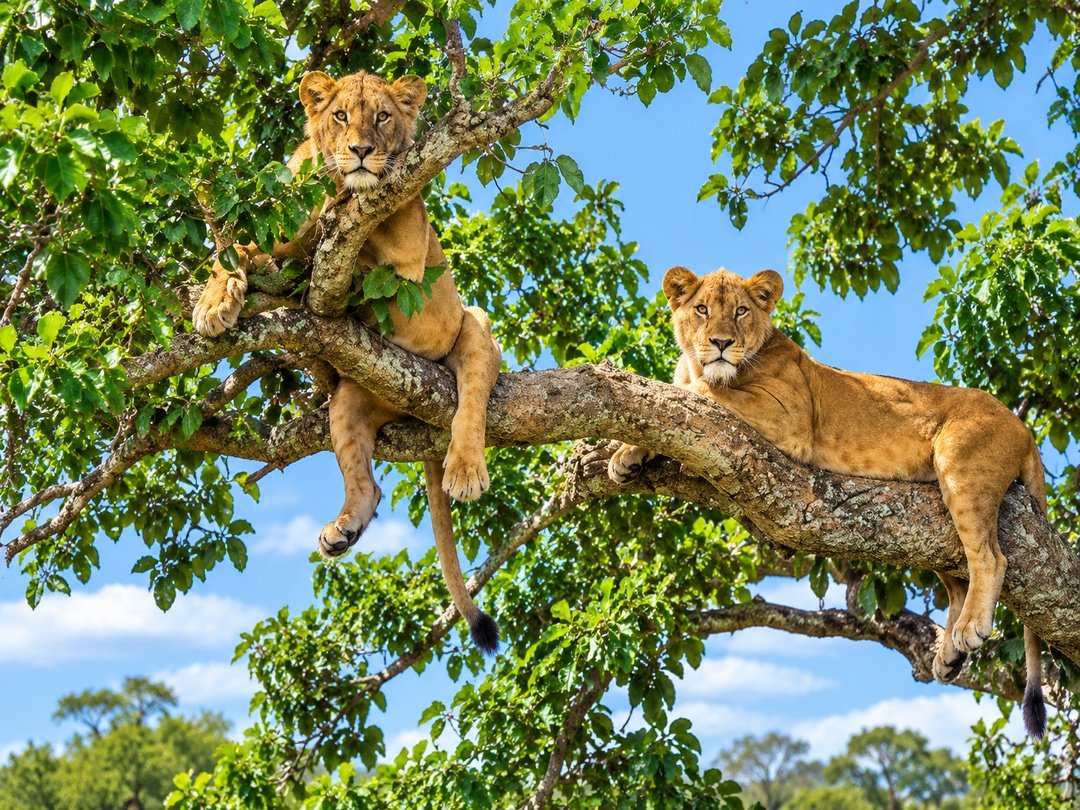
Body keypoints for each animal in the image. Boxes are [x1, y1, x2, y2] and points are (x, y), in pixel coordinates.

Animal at [191, 71, 502, 653]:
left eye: (382, 117)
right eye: (340, 116)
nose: (359, 150)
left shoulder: (406, 244)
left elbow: (363, 239)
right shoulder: (276, 237)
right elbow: (234, 253)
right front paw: (214, 303)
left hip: (474, 326)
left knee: (470, 403)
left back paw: (465, 470)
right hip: (351, 402)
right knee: (367, 485)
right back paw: (341, 532)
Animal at [608, 265, 1048, 737]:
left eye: (741, 311)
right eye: (702, 309)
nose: (722, 343)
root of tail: (1023, 428)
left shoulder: (790, 416)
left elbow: (702, 393)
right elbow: (669, 420)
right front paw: (625, 456)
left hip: (960, 469)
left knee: (990, 558)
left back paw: (969, 630)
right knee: (960, 579)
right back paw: (949, 656)